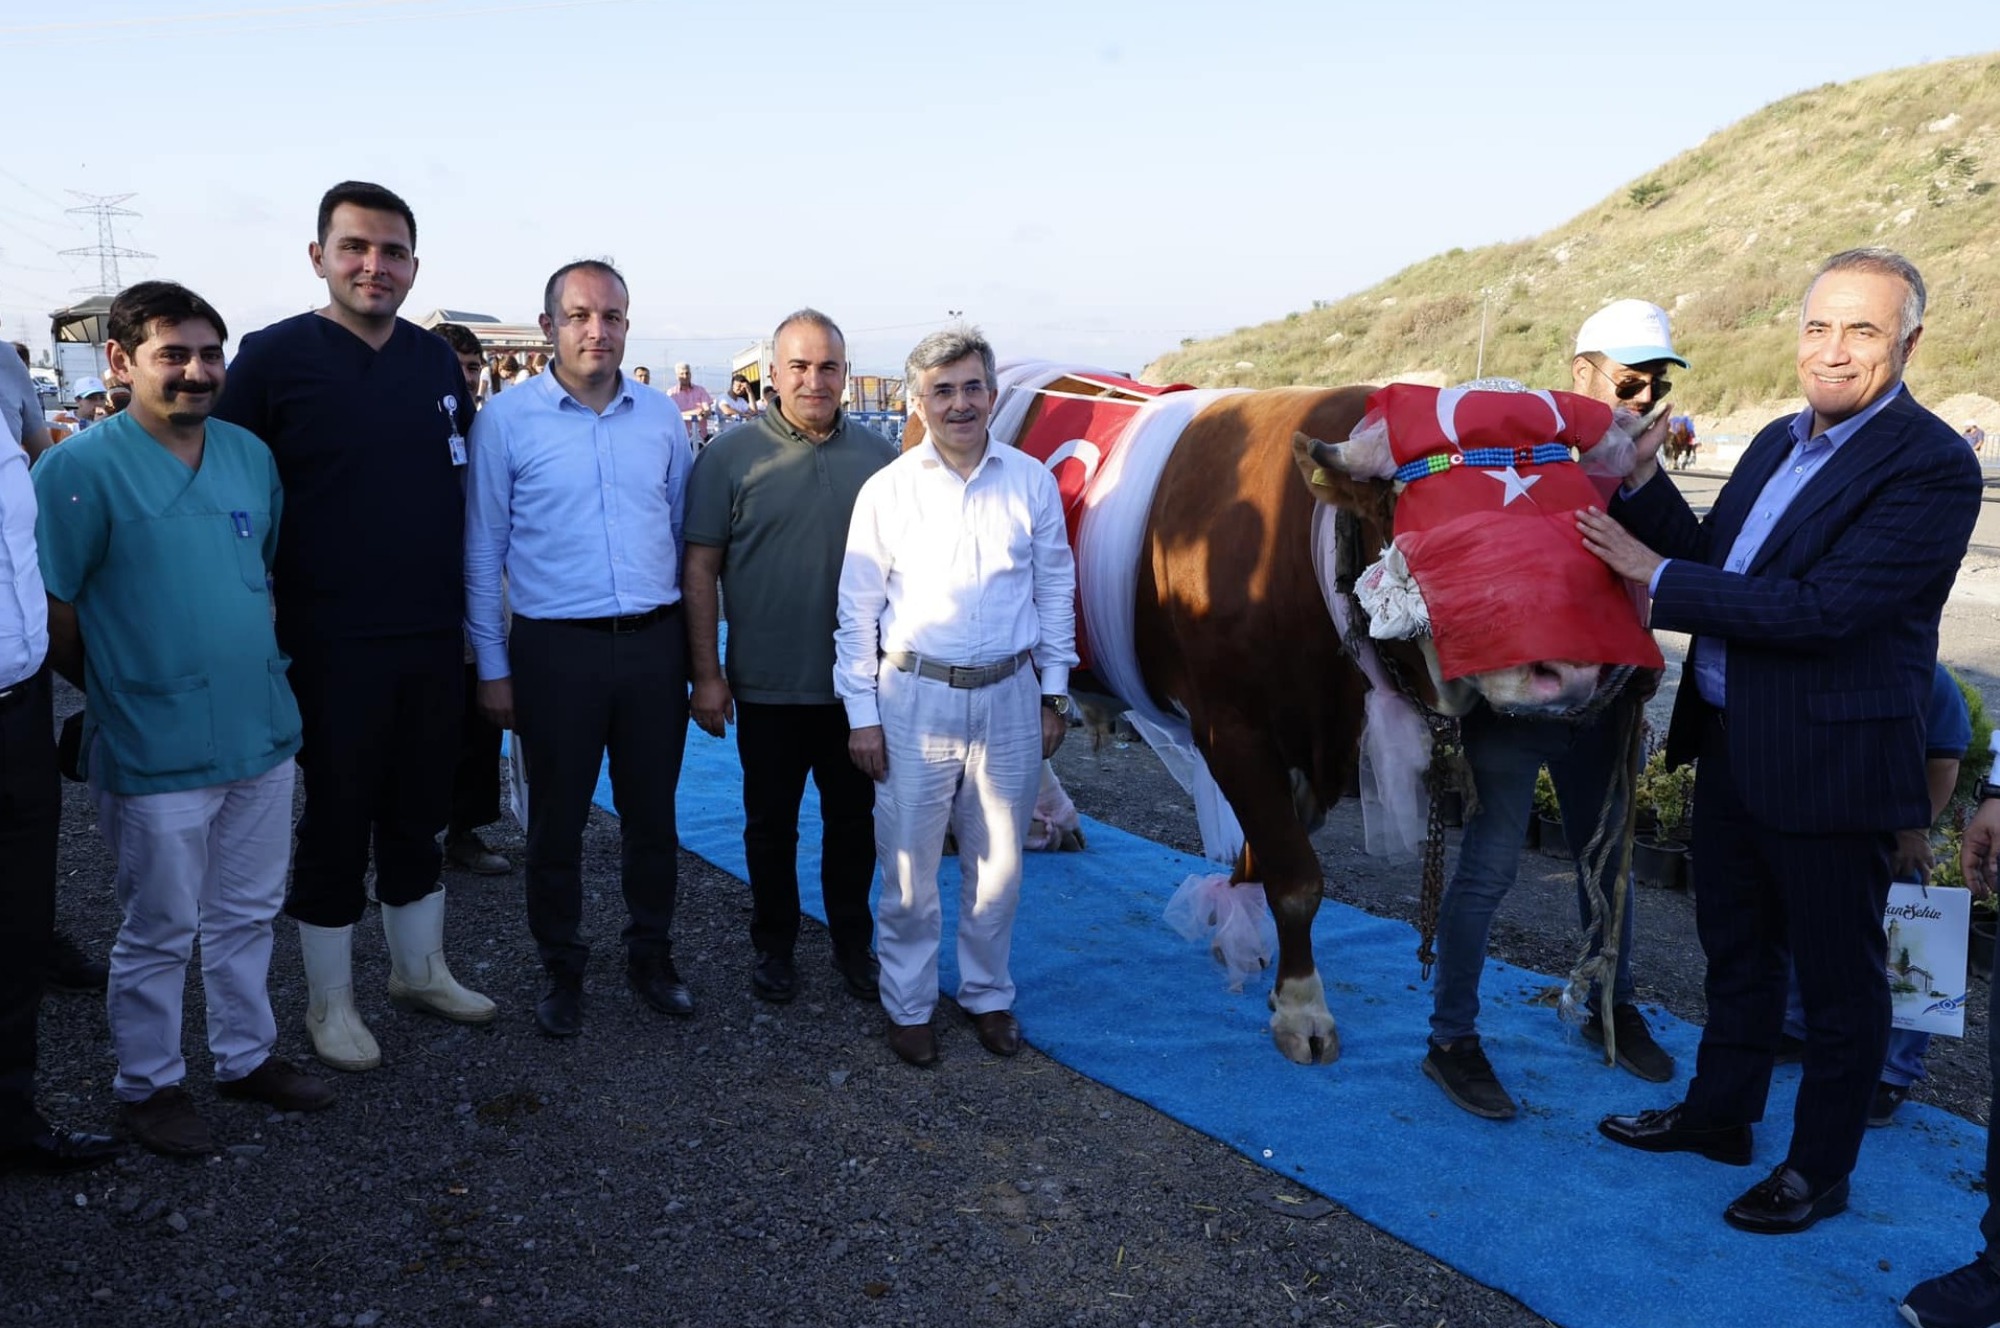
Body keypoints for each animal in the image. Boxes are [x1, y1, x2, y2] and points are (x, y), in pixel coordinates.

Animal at [908, 366, 1656, 1072]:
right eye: (1452, 529)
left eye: (1587, 522)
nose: (1576, 669)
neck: (1307, 545)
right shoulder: (1231, 729)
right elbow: (1297, 880)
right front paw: (1303, 1010)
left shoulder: (1313, 748)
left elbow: (1263, 860)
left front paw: (1246, 942)